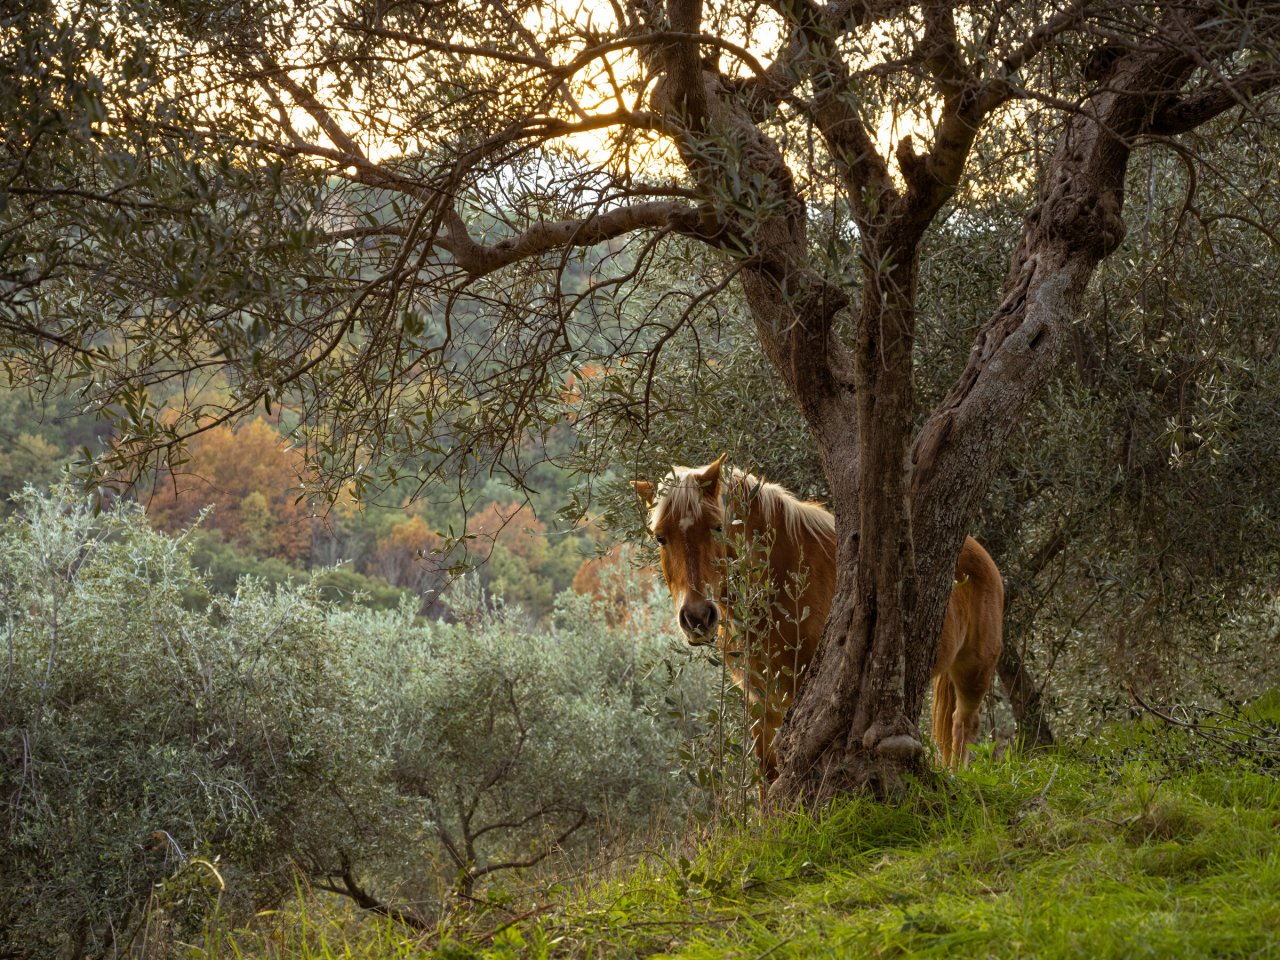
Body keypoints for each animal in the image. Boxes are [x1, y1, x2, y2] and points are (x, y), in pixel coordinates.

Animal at [633, 454, 1003, 789]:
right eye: (660, 537)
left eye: (718, 527)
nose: (697, 616)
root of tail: (978, 553)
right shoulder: (761, 702)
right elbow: (768, 773)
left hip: (974, 672)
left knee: (964, 725)